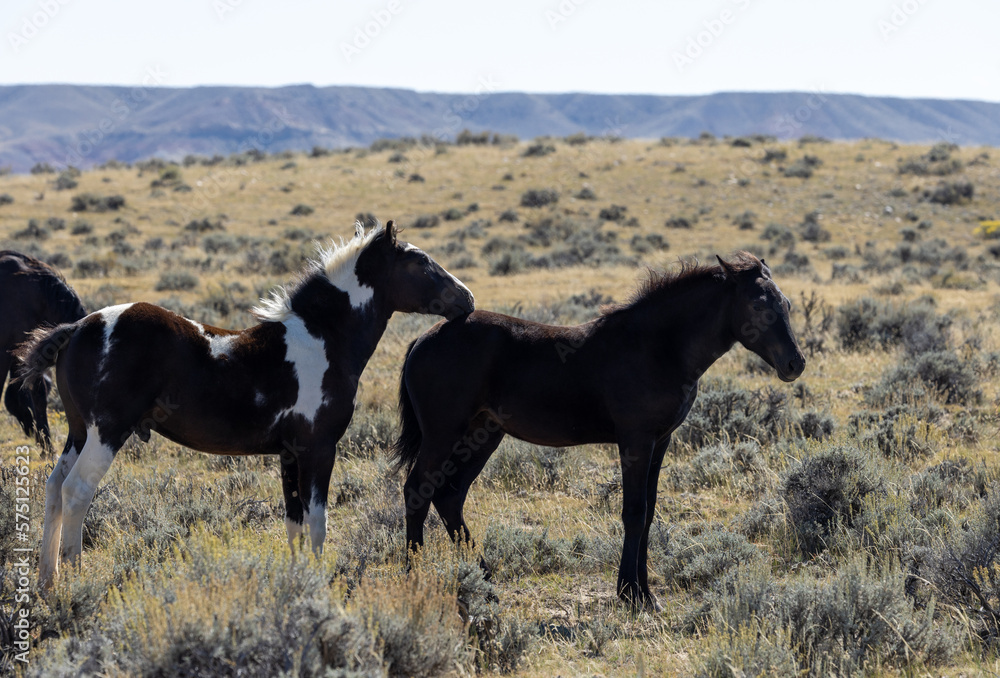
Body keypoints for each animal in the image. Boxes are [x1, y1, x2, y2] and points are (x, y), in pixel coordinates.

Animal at [18, 221, 474, 588]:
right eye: (420, 262)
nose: (467, 299)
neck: (324, 341)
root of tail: (77, 327)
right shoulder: (319, 448)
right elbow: (318, 522)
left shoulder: (289, 453)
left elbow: (294, 522)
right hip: (108, 431)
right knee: (77, 490)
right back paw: (74, 578)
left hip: (79, 431)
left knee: (54, 488)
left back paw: (47, 580)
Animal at [392, 252, 805, 609]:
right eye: (758, 305)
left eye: (785, 304)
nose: (795, 364)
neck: (658, 347)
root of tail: (423, 340)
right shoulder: (636, 440)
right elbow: (634, 511)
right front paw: (631, 594)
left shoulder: (661, 441)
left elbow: (649, 511)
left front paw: (644, 593)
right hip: (443, 434)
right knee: (418, 490)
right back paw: (415, 579)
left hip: (481, 435)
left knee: (450, 496)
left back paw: (486, 582)